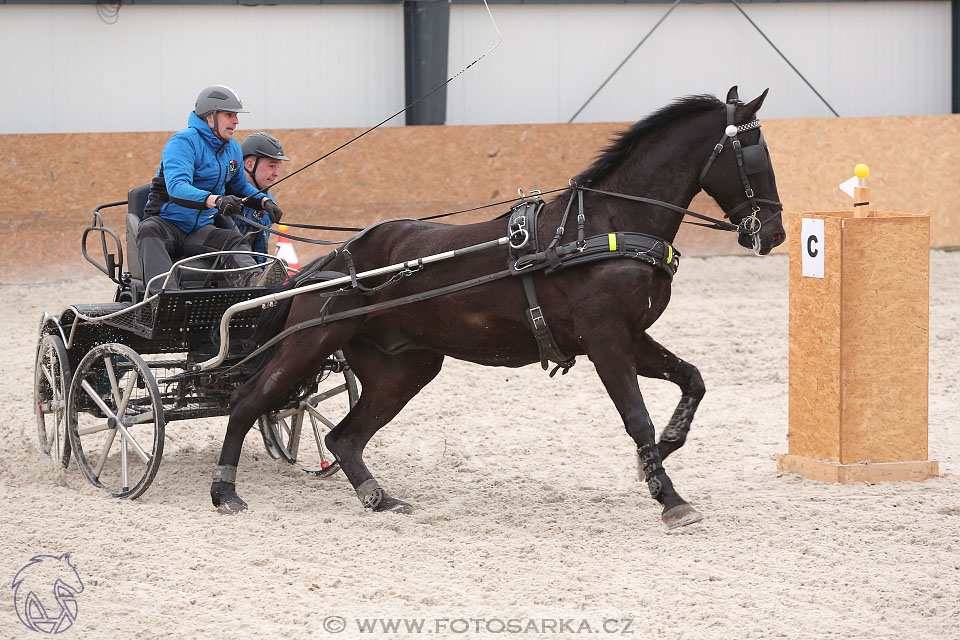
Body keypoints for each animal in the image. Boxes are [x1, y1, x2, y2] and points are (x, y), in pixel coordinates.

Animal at [214, 89, 784, 528]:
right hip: (308, 343)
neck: (607, 223)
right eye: (756, 157)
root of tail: (334, 259)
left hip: (404, 368)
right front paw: (670, 498)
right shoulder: (606, 341)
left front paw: (660, 454)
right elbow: (637, 418)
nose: (774, 233)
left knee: (342, 437)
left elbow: (692, 381)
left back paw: (379, 497)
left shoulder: (631, 337)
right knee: (247, 401)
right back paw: (225, 491)